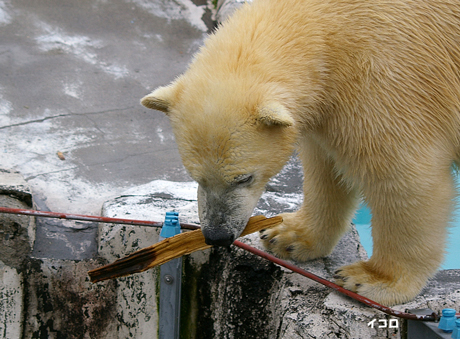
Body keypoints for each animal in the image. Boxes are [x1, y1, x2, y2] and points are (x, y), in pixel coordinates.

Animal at [142, 0, 460, 306]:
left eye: (244, 178)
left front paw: (372, 279)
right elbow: (326, 167)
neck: (326, 27)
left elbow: (404, 177)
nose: (217, 235)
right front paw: (286, 235)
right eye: (196, 177)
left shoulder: (388, 80)